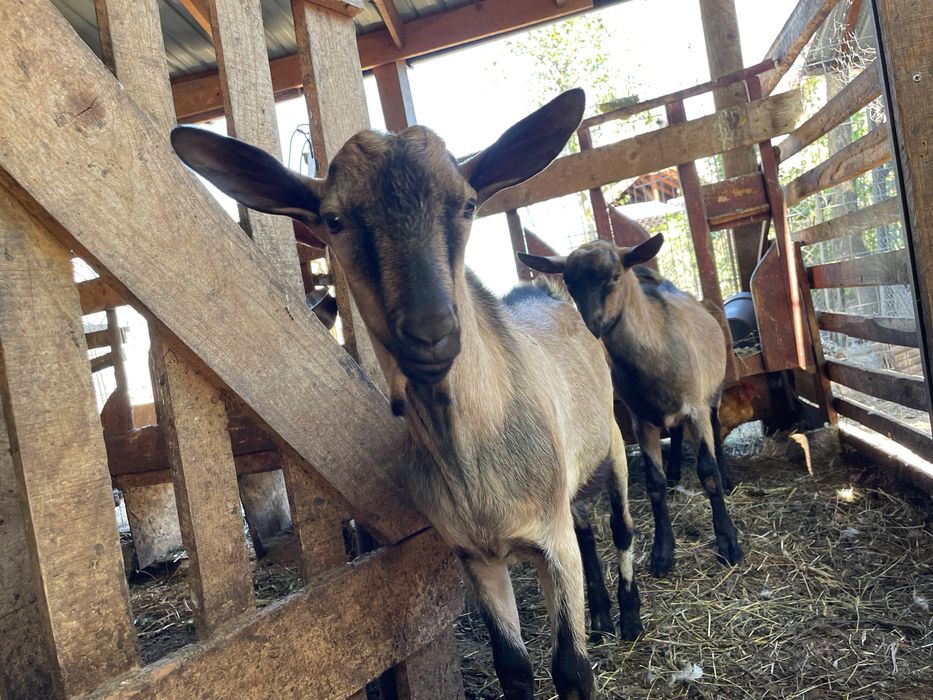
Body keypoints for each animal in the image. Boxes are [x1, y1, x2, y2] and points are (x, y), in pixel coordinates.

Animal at [171, 90, 642, 700]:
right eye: (335, 219)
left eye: (468, 204)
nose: (431, 333)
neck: (474, 457)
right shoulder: (477, 555)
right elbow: (513, 667)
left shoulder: (548, 536)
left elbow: (571, 669)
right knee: (585, 527)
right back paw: (603, 613)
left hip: (610, 442)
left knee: (620, 526)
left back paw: (627, 617)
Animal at [520, 235, 743, 578]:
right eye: (569, 282)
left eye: (615, 276)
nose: (592, 327)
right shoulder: (641, 420)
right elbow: (654, 483)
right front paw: (662, 553)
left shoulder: (695, 408)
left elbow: (707, 472)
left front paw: (728, 543)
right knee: (675, 432)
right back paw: (675, 472)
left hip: (713, 390)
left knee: (716, 429)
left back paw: (727, 476)